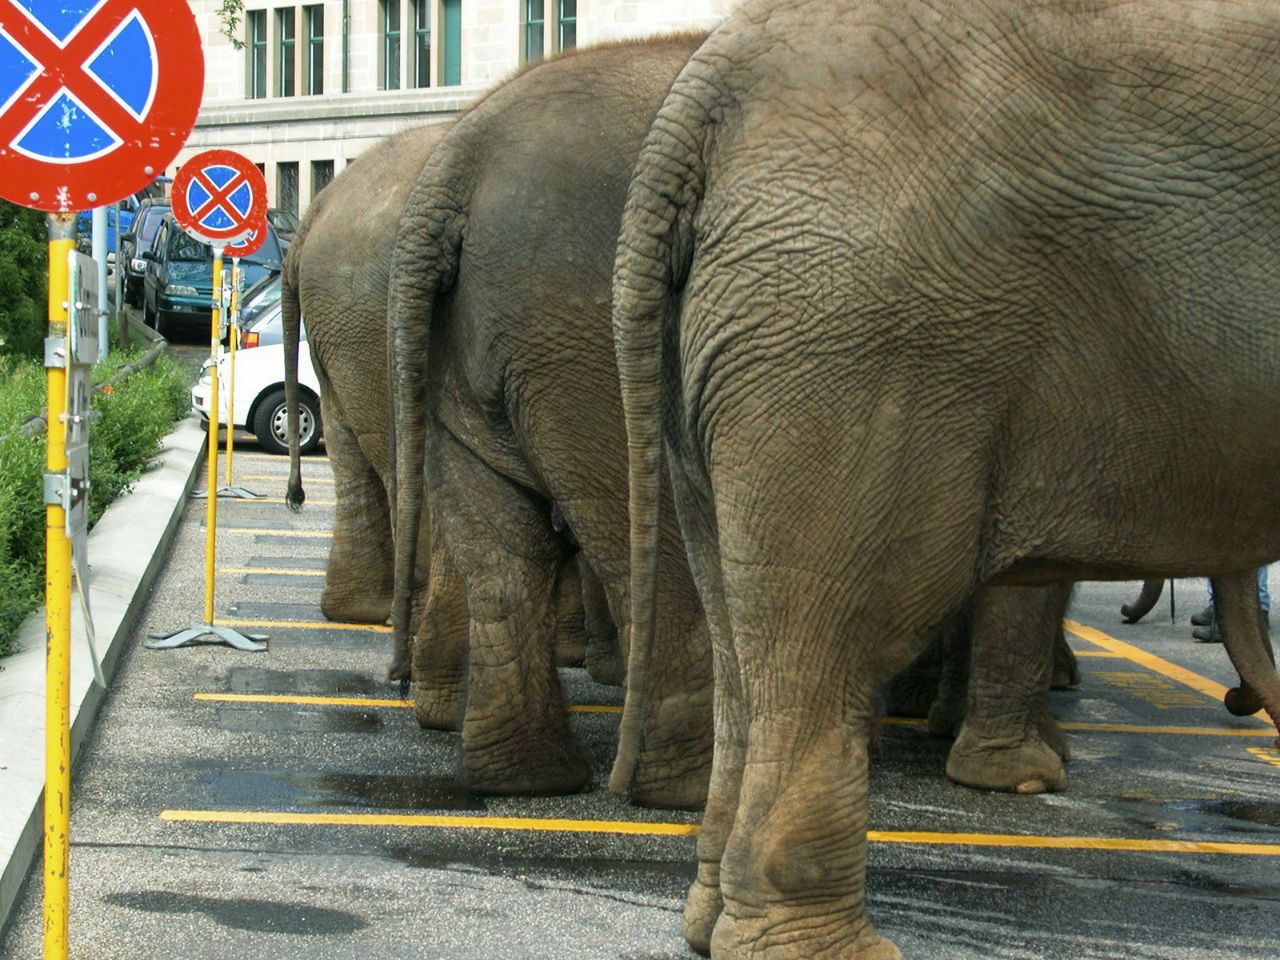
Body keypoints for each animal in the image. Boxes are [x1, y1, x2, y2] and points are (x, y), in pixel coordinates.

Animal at [384, 33, 716, 808]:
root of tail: (455, 163)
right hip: (584, 347)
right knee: (653, 540)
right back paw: (682, 790)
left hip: (473, 352)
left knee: (502, 550)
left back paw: (526, 777)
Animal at [606, 3, 1280, 957]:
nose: (1232, 699)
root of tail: (704, 95)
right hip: (859, 348)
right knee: (835, 643)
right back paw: (832, 949)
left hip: (730, 355)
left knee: (747, 644)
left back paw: (709, 927)